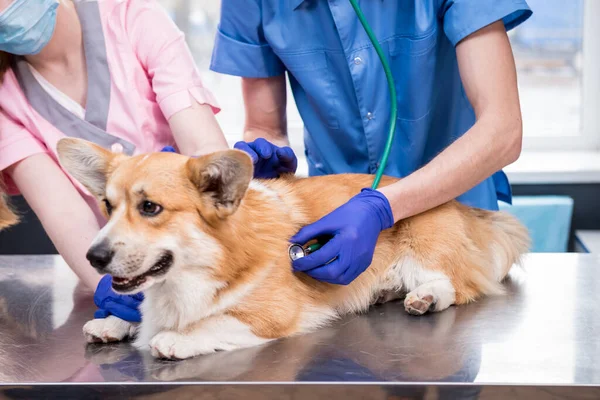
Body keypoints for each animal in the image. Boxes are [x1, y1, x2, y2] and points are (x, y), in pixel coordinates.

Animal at [54, 138, 528, 360]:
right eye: (107, 206)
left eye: (150, 207)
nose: (94, 258)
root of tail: (461, 205)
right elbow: (135, 307)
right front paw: (114, 320)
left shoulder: (271, 314)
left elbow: (216, 320)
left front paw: (175, 338)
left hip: (426, 247)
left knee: (456, 285)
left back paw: (425, 297)